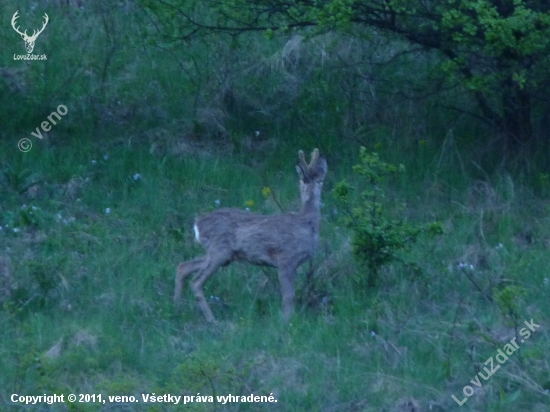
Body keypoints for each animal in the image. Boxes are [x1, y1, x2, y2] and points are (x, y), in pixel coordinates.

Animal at [176, 148, 328, 322]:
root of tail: (198, 224)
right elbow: (288, 296)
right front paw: (287, 322)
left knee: (183, 266)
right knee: (196, 282)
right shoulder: (286, 259)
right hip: (220, 251)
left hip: (221, 254)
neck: (307, 222)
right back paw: (212, 320)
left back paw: (177, 307)